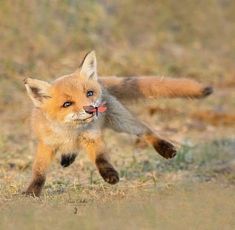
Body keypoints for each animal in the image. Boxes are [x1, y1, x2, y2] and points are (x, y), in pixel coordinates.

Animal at [23, 51, 213, 197]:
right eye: (67, 104)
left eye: (89, 93)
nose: (91, 109)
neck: (73, 132)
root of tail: (101, 81)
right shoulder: (46, 144)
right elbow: (39, 171)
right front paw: (32, 191)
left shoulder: (93, 138)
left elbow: (101, 159)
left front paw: (110, 175)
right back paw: (67, 158)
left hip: (121, 121)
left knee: (145, 130)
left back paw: (165, 148)